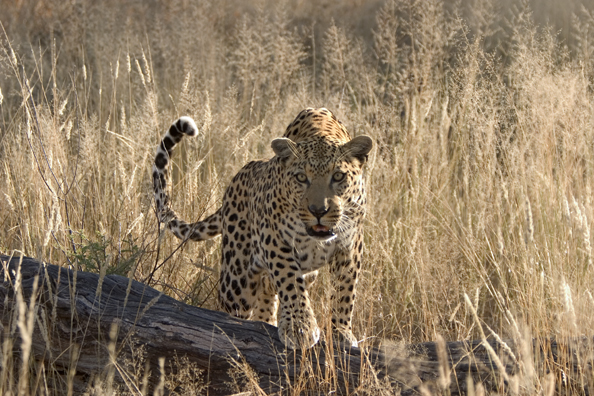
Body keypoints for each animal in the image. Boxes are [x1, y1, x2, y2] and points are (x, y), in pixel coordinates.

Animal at [154, 108, 374, 350]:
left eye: (338, 176)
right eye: (301, 177)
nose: (319, 210)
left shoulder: (350, 244)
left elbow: (344, 291)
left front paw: (341, 333)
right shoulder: (275, 238)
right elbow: (290, 281)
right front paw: (301, 328)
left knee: (270, 286)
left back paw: (267, 319)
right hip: (236, 281)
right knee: (235, 302)